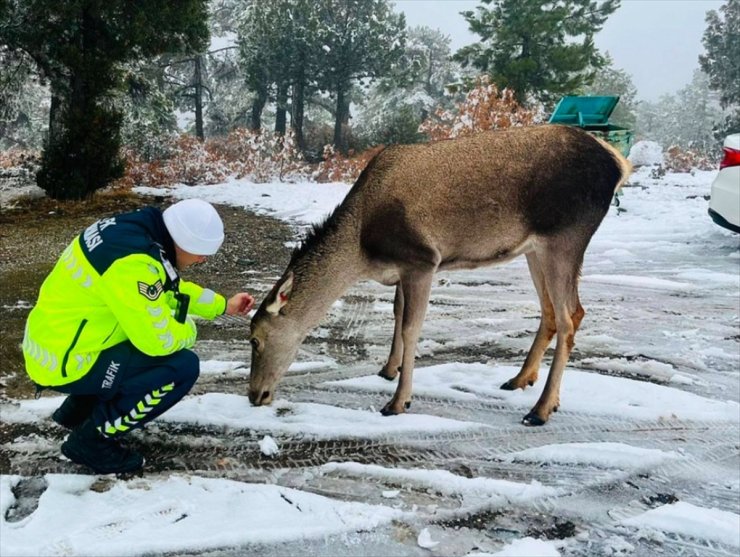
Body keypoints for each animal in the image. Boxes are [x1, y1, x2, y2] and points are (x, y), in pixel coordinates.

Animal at [249, 124, 632, 424]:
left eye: (255, 339)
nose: (255, 395)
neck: (361, 250)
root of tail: (619, 164)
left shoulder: (422, 259)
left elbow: (411, 327)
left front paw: (398, 401)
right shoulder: (402, 268)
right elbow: (397, 314)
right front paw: (389, 369)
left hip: (565, 237)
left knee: (570, 316)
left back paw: (540, 409)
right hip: (535, 249)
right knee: (553, 311)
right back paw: (520, 379)